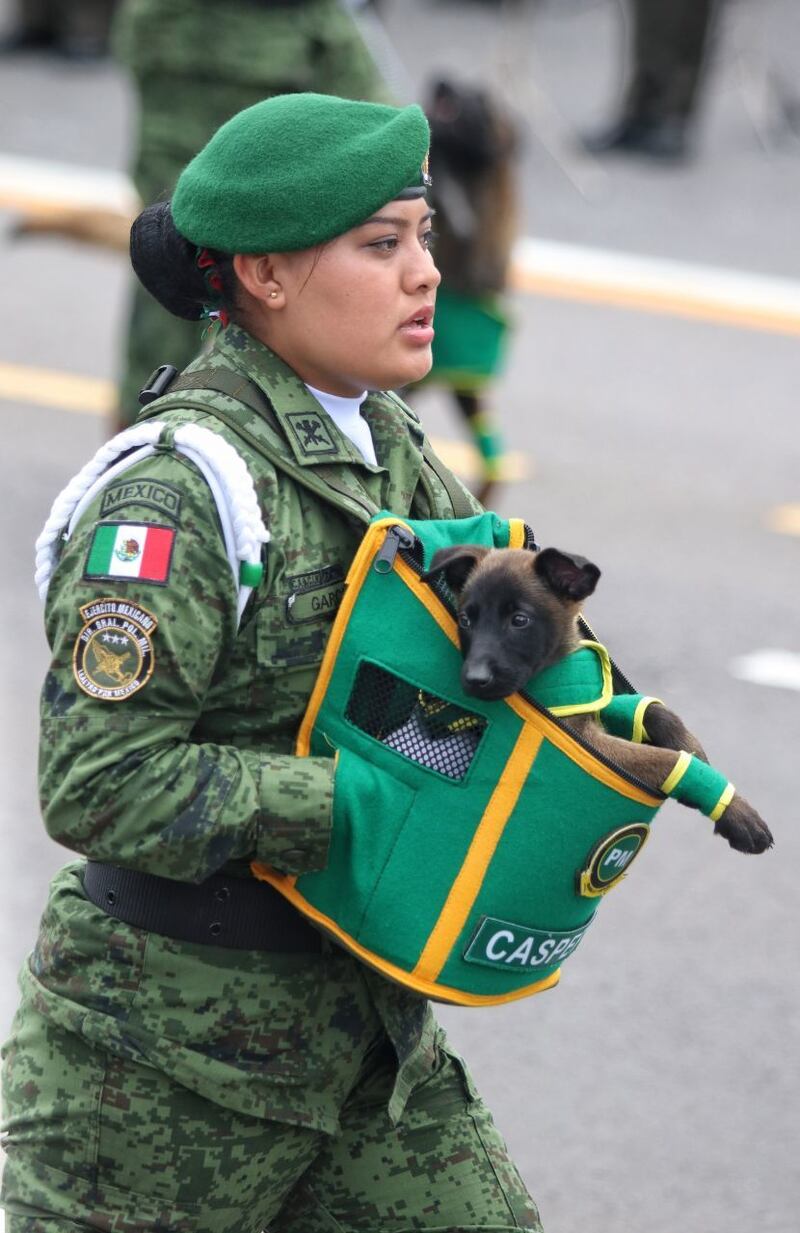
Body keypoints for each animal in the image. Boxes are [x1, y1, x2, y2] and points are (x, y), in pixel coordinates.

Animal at [424, 544, 774, 853]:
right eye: (465, 620)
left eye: (519, 620)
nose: (474, 680)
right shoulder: (584, 741)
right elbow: (663, 759)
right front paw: (735, 811)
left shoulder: (592, 710)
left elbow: (656, 713)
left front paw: (696, 752)